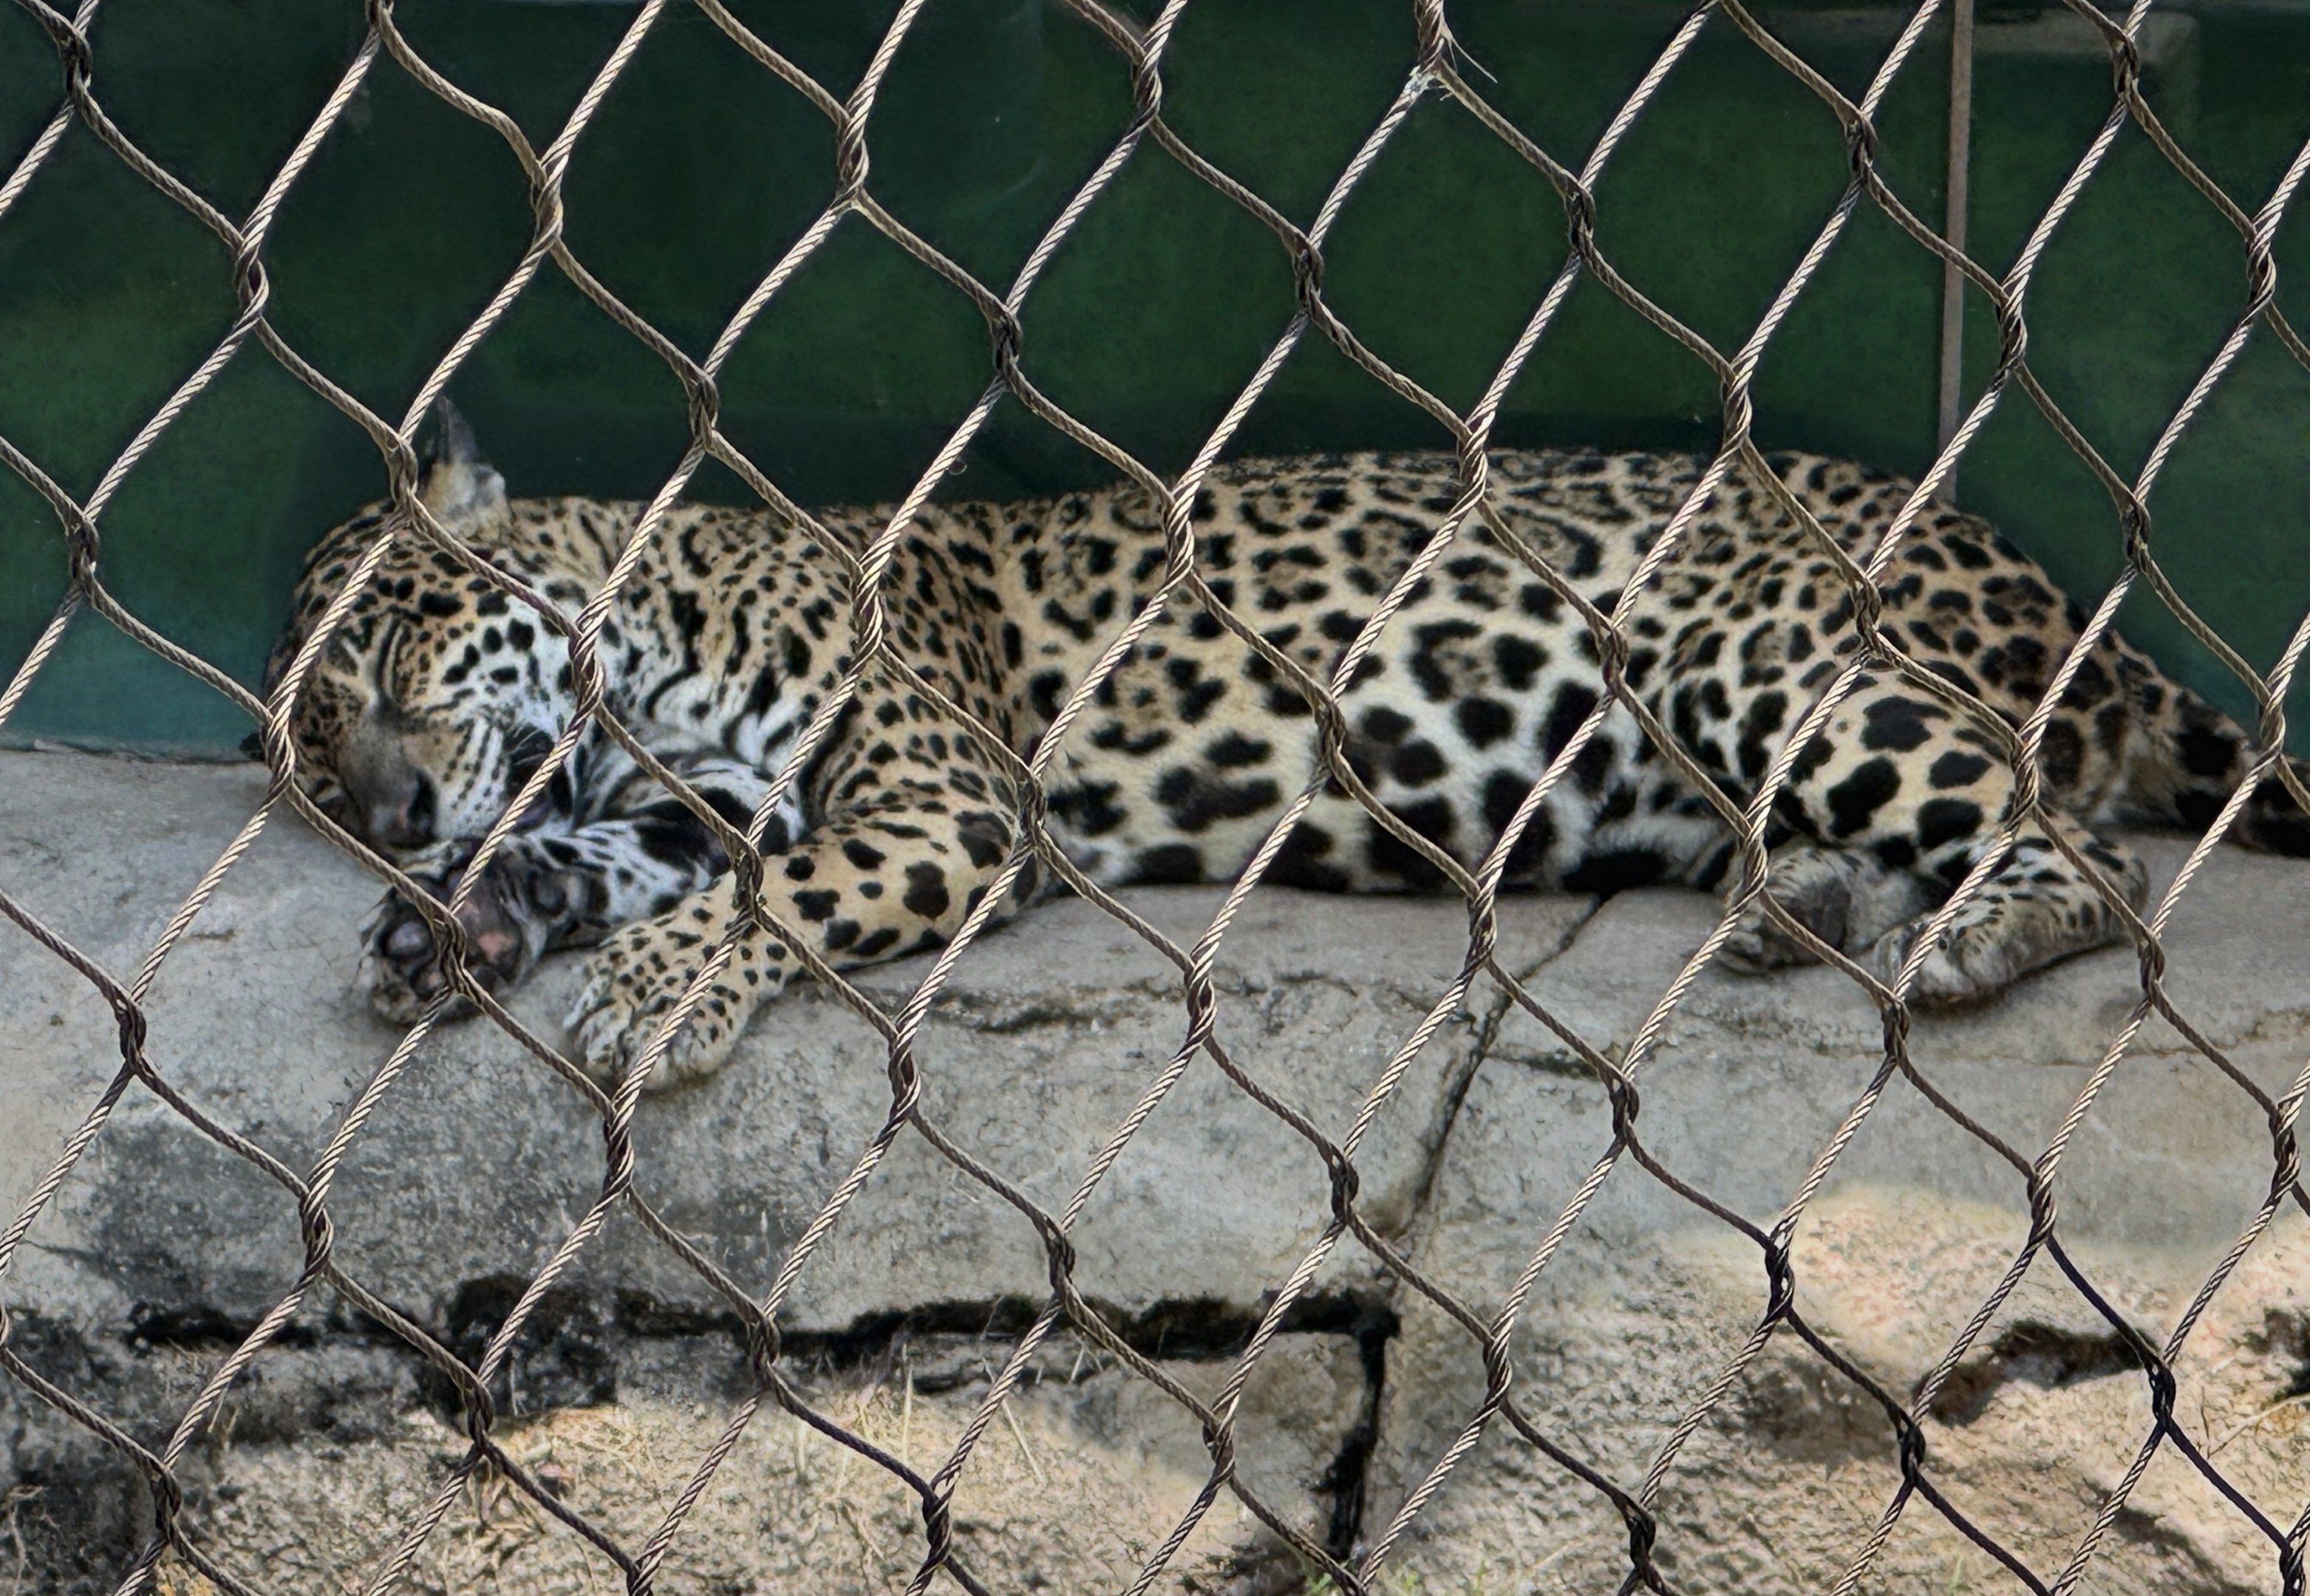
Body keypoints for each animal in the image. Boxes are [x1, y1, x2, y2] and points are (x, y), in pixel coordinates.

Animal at [264, 405, 2310, 1089]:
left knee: (2082, 848)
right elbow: (596, 854)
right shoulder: (694, 801)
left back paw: (1961, 932)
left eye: (381, 646)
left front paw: (656, 994)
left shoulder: (936, 796)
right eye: (304, 760)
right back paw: (1802, 904)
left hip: (1753, 647)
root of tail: (2057, 588)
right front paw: (452, 921)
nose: (388, 809)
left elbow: (781, 894)